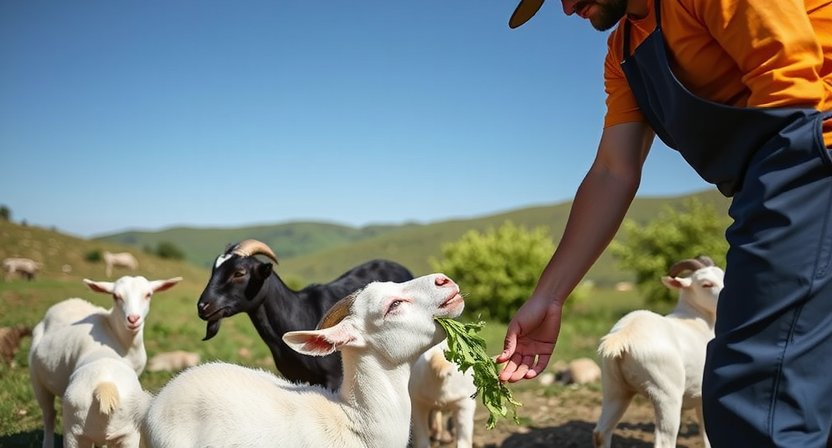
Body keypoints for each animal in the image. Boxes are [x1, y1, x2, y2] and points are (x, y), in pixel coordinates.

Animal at [593, 256, 723, 448]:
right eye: (706, 284)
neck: (698, 321)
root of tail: (625, 335)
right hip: (667, 395)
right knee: (664, 441)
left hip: (614, 388)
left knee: (601, 432)